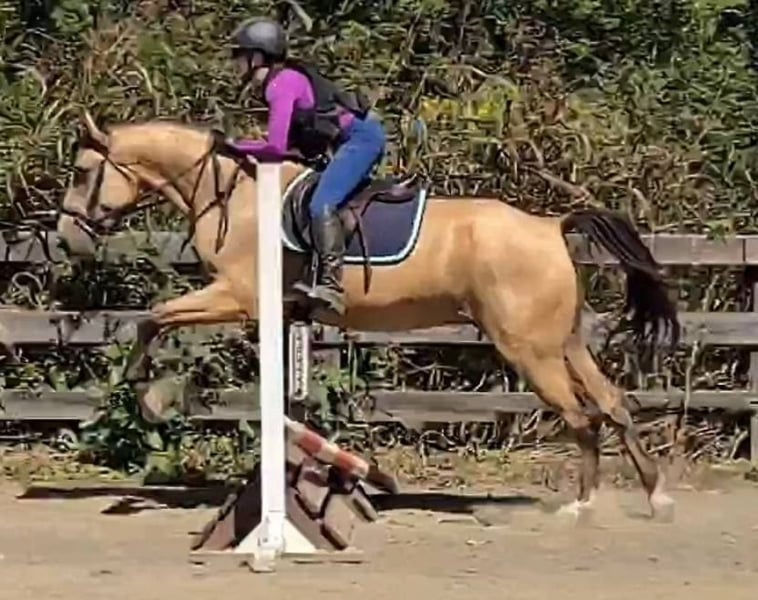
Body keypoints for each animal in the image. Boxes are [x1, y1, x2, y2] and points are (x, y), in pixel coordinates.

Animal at [57, 111, 679, 520]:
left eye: (84, 173)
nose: (67, 240)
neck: (231, 194)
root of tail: (551, 226)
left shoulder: (236, 296)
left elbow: (154, 316)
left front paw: (150, 398)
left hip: (529, 349)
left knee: (581, 416)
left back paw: (581, 505)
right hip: (563, 341)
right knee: (612, 404)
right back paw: (655, 495)